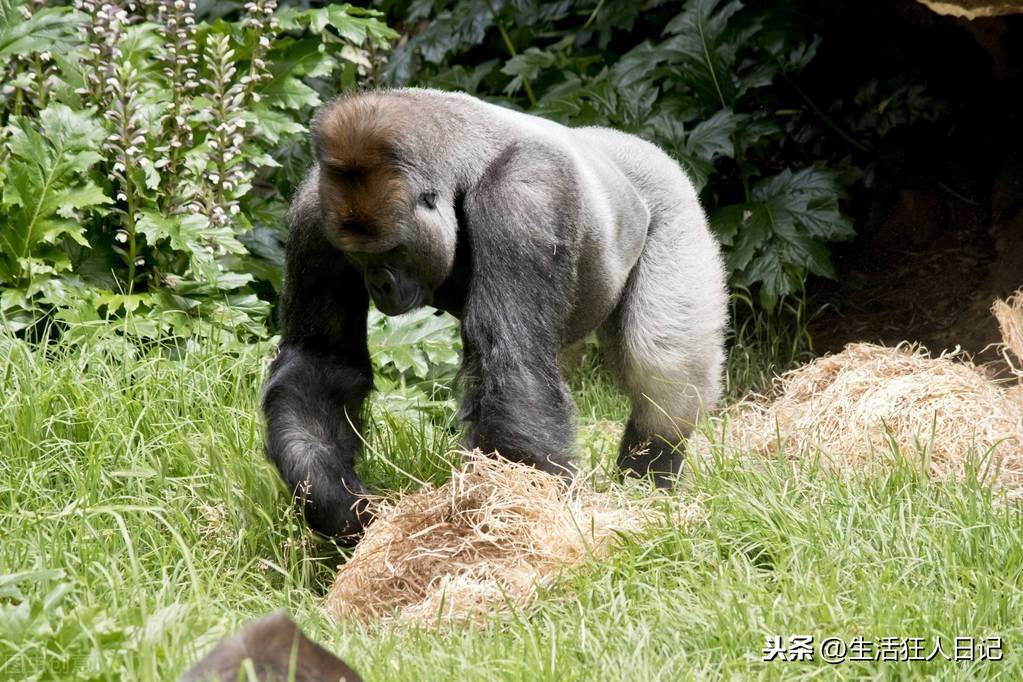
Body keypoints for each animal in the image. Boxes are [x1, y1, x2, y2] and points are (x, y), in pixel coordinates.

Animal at [263, 87, 728, 543]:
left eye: (392, 251)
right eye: (356, 258)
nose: (379, 285)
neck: (463, 165)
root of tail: (630, 142)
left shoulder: (524, 197)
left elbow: (513, 364)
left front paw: (512, 516)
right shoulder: (314, 213)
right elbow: (321, 362)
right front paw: (338, 503)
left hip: (671, 196)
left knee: (662, 367)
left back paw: (650, 478)